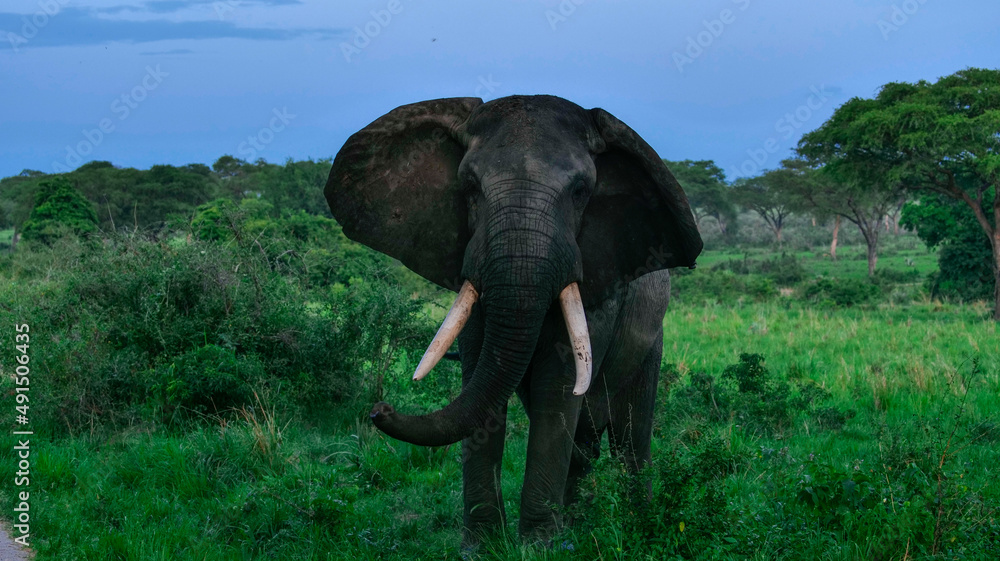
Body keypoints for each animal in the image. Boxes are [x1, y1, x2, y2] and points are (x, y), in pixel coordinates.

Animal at [324, 95, 702, 544]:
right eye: (470, 188)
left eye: (580, 192)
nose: (379, 409)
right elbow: (481, 380)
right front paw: (484, 545)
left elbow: (558, 386)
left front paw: (539, 545)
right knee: (587, 438)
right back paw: (579, 518)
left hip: (650, 339)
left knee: (631, 435)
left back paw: (636, 521)